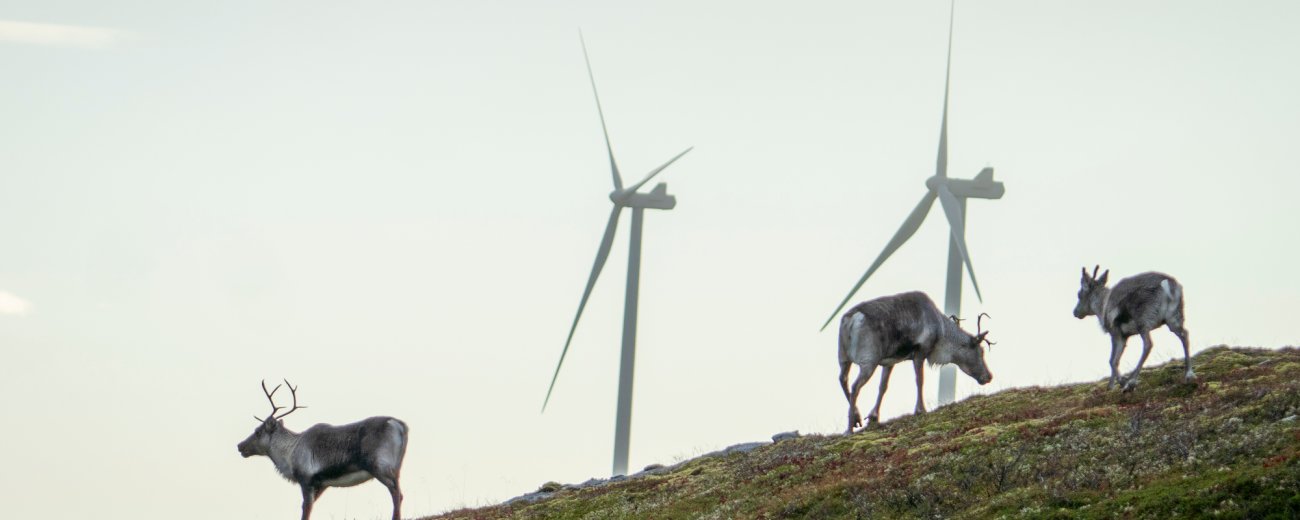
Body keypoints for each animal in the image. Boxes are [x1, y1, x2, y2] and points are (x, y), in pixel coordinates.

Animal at [237, 380, 409, 520]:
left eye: (258, 431)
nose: (240, 446)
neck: (289, 453)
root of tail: (400, 425)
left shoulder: (306, 479)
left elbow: (305, 509)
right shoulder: (322, 484)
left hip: (380, 466)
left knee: (396, 494)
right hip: (396, 469)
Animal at [837, 291, 994, 433]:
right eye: (981, 351)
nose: (989, 376)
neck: (941, 334)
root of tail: (851, 319)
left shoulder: (889, 361)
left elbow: (883, 387)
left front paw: (873, 416)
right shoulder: (920, 351)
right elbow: (920, 380)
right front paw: (920, 409)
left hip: (843, 357)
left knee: (843, 379)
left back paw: (856, 418)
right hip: (869, 360)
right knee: (855, 386)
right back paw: (849, 428)